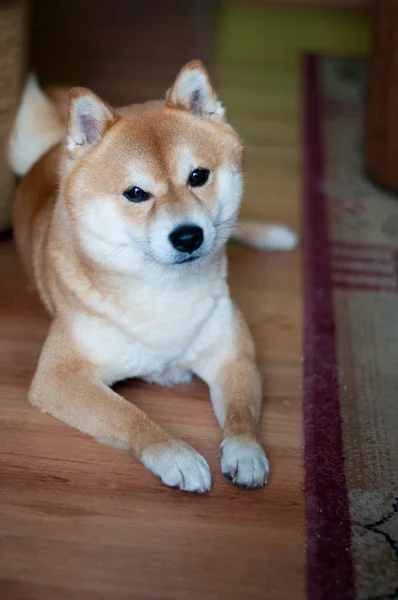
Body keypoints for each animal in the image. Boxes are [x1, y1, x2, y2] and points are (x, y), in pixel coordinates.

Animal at [7, 59, 296, 492]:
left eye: (198, 176)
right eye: (136, 194)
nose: (189, 236)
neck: (163, 292)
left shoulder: (232, 355)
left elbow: (242, 412)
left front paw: (246, 451)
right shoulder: (59, 377)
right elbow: (129, 415)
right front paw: (175, 454)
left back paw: (275, 235)